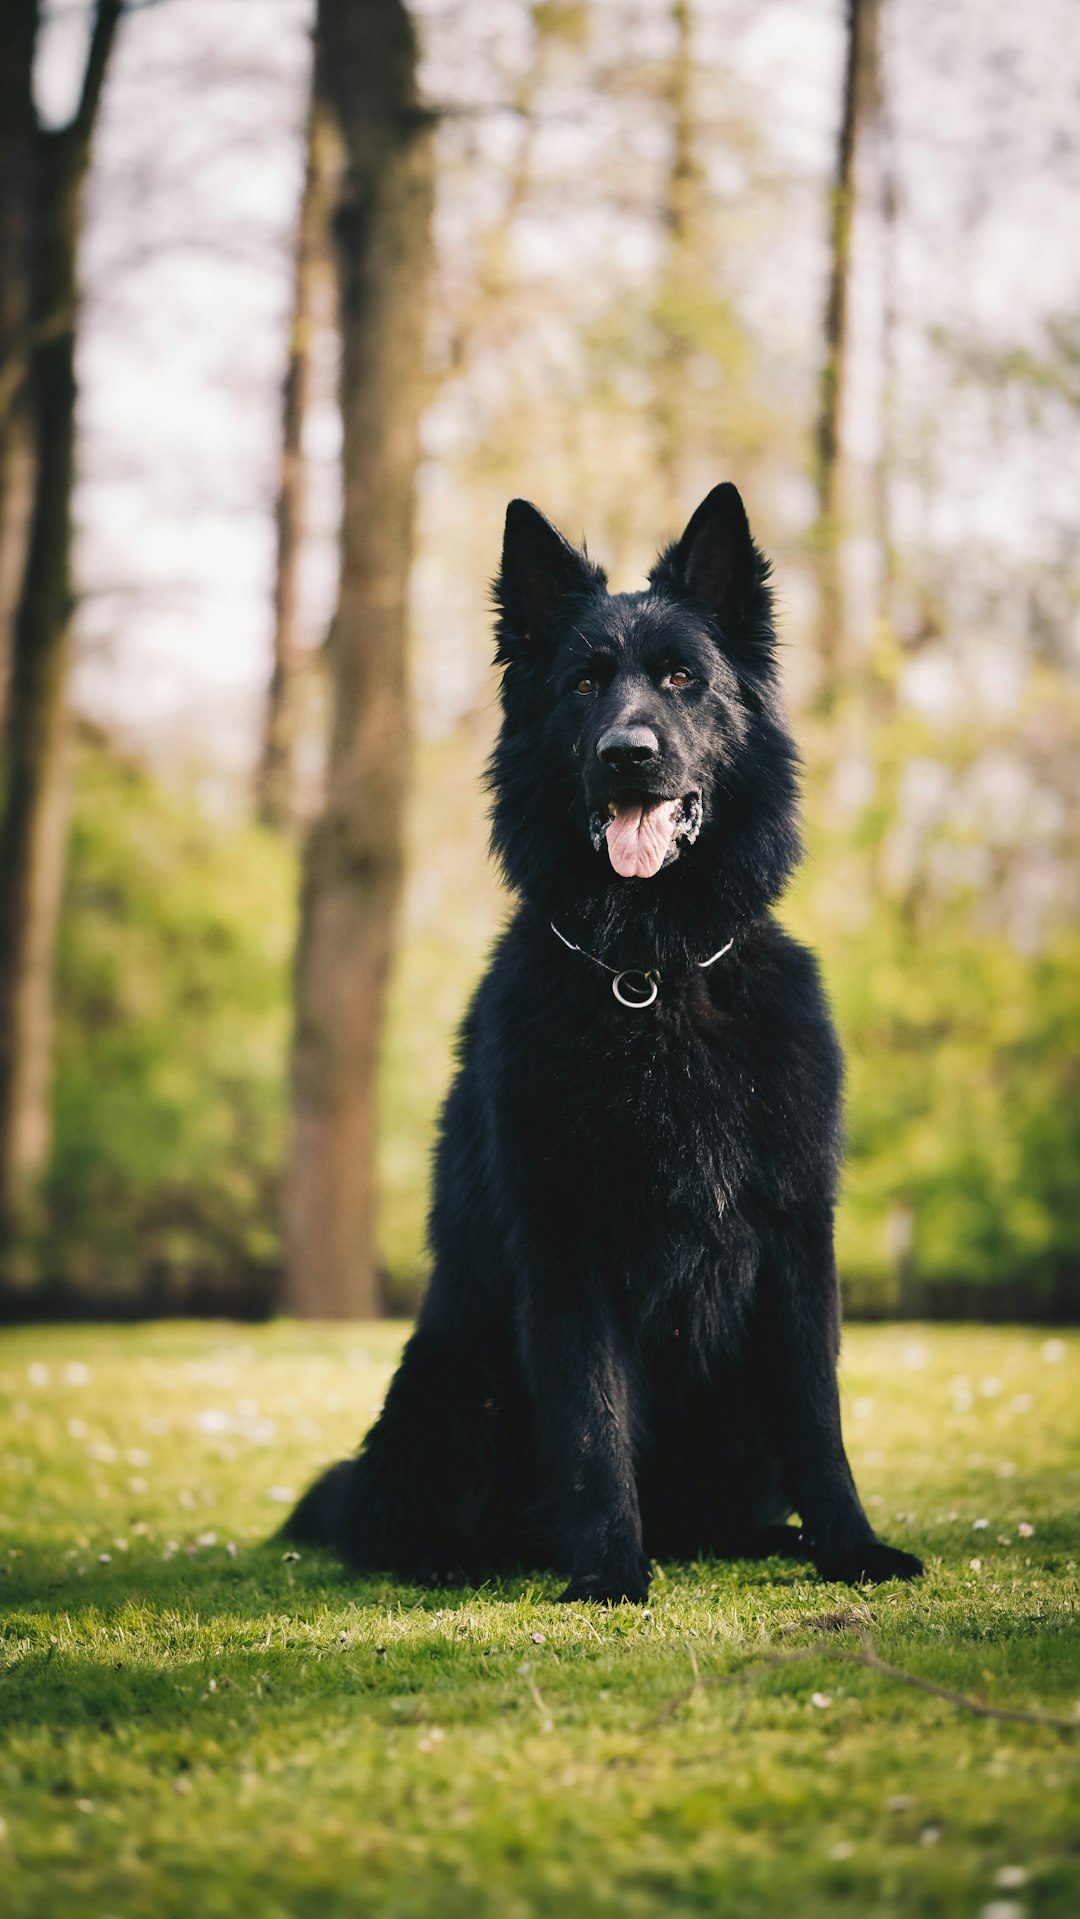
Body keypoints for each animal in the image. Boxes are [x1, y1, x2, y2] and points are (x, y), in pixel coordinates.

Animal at [291, 487, 924, 1596]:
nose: (627, 752)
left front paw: (849, 1546)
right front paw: (609, 1572)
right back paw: (463, 1556)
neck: (651, 971)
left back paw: (766, 1537)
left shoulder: (797, 1236)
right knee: (401, 1517)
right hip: (452, 1378)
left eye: (680, 678)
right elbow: (594, 1424)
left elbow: (819, 1412)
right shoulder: (566, 1248)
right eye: (584, 684)